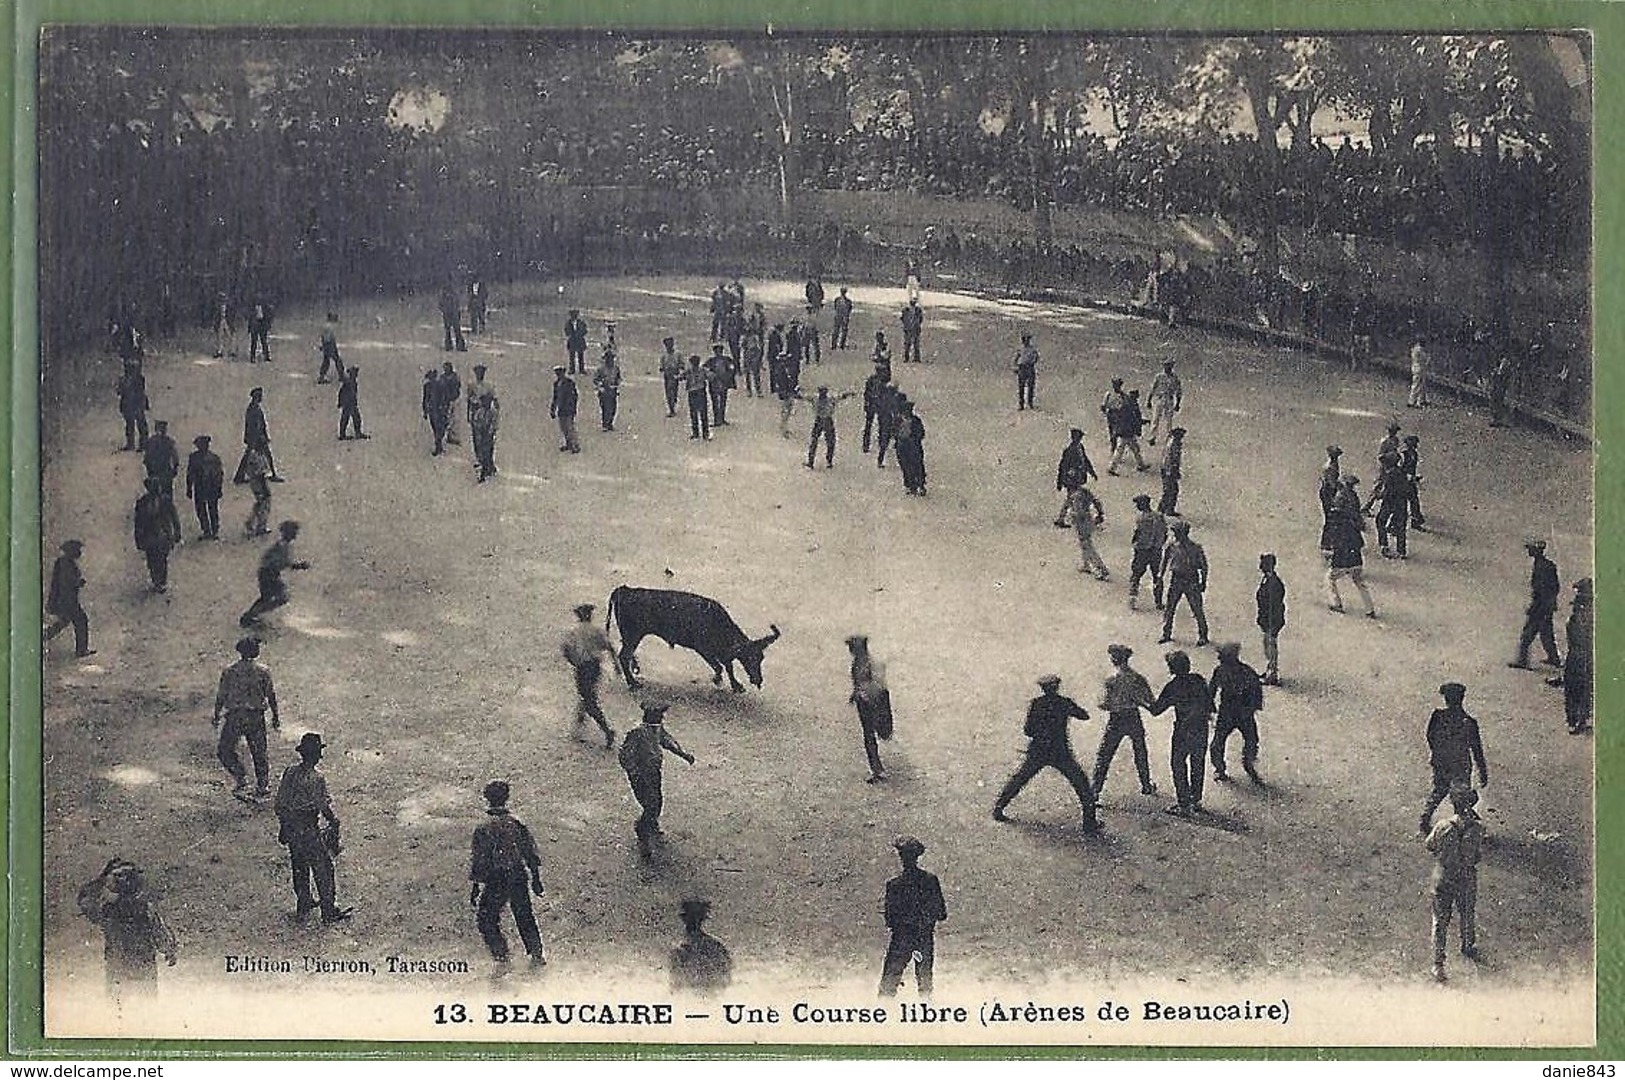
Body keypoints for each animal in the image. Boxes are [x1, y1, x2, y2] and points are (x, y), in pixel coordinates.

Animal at [611, 591, 786, 691]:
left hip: (630, 637)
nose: (758, 680)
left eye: (761, 658)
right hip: (632, 635)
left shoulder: (721, 652)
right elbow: (720, 666)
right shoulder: (704, 650)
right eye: (748, 658)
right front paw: (718, 680)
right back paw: (633, 684)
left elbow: (728, 666)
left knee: (626, 655)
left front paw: (736, 685)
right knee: (623, 656)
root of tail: (624, 590)